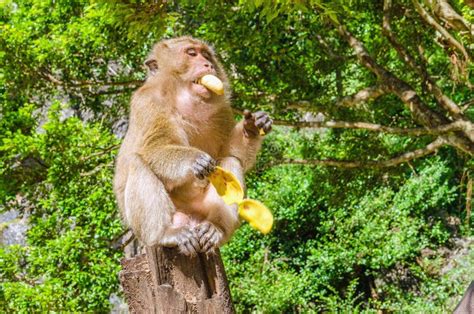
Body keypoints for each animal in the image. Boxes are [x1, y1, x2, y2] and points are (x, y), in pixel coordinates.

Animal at [112, 36, 272, 256]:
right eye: (191, 53)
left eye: (206, 55)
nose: (208, 65)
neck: (186, 99)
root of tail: (189, 219)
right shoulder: (148, 102)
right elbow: (154, 147)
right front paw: (194, 160)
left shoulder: (222, 109)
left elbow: (230, 153)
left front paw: (252, 127)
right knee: (138, 162)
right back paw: (164, 234)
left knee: (229, 161)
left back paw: (216, 229)